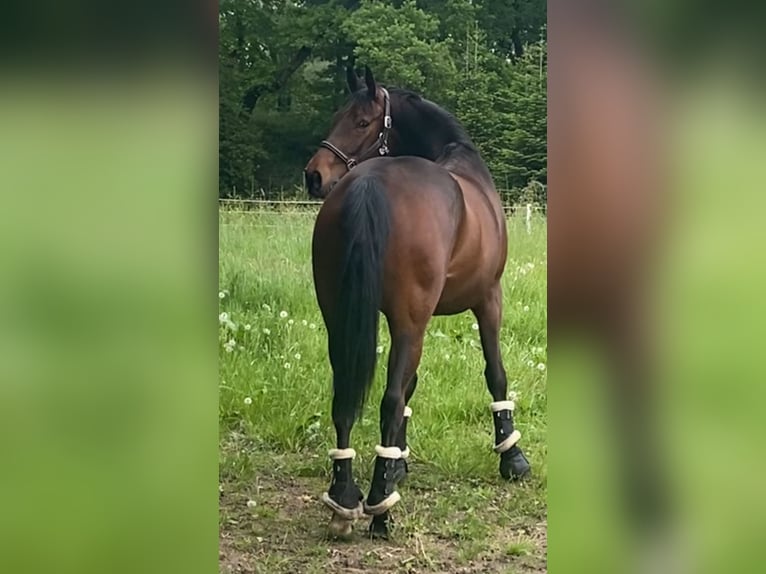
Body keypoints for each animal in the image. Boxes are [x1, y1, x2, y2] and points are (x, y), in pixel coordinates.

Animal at [304, 67, 532, 540]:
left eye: (360, 121)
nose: (313, 176)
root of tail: (368, 182)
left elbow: (411, 384)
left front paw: (398, 463)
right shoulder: (488, 298)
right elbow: (496, 374)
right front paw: (512, 457)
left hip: (342, 318)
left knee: (345, 397)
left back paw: (344, 500)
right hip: (411, 321)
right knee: (388, 399)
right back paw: (379, 508)